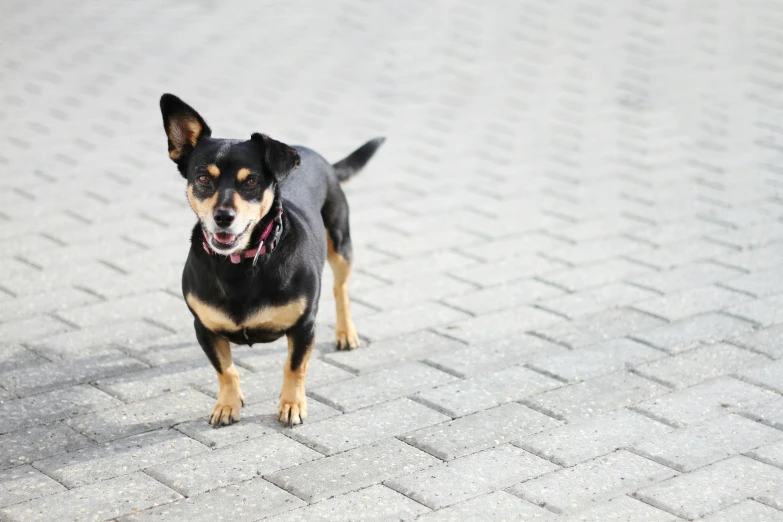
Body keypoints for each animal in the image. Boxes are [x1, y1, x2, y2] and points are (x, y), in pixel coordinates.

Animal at [158, 93, 384, 426]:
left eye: (251, 181)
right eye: (202, 178)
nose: (223, 217)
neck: (239, 264)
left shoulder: (304, 326)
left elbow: (294, 367)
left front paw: (292, 405)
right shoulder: (204, 329)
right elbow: (226, 370)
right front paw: (227, 405)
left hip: (341, 244)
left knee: (340, 289)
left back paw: (346, 333)